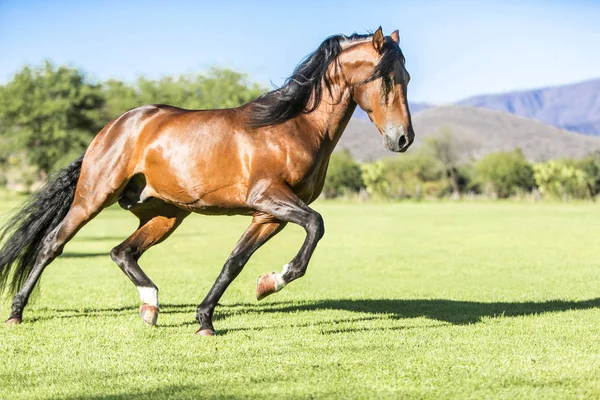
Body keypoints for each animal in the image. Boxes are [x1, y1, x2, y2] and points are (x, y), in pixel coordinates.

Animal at [0, 26, 412, 336]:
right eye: (386, 77)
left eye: (406, 77)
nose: (403, 139)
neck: (293, 125)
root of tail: (115, 126)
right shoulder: (270, 198)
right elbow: (316, 225)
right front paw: (272, 281)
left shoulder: (268, 216)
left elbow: (235, 261)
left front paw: (209, 318)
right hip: (93, 198)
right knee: (52, 244)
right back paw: (17, 312)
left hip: (166, 214)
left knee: (123, 252)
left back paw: (150, 306)